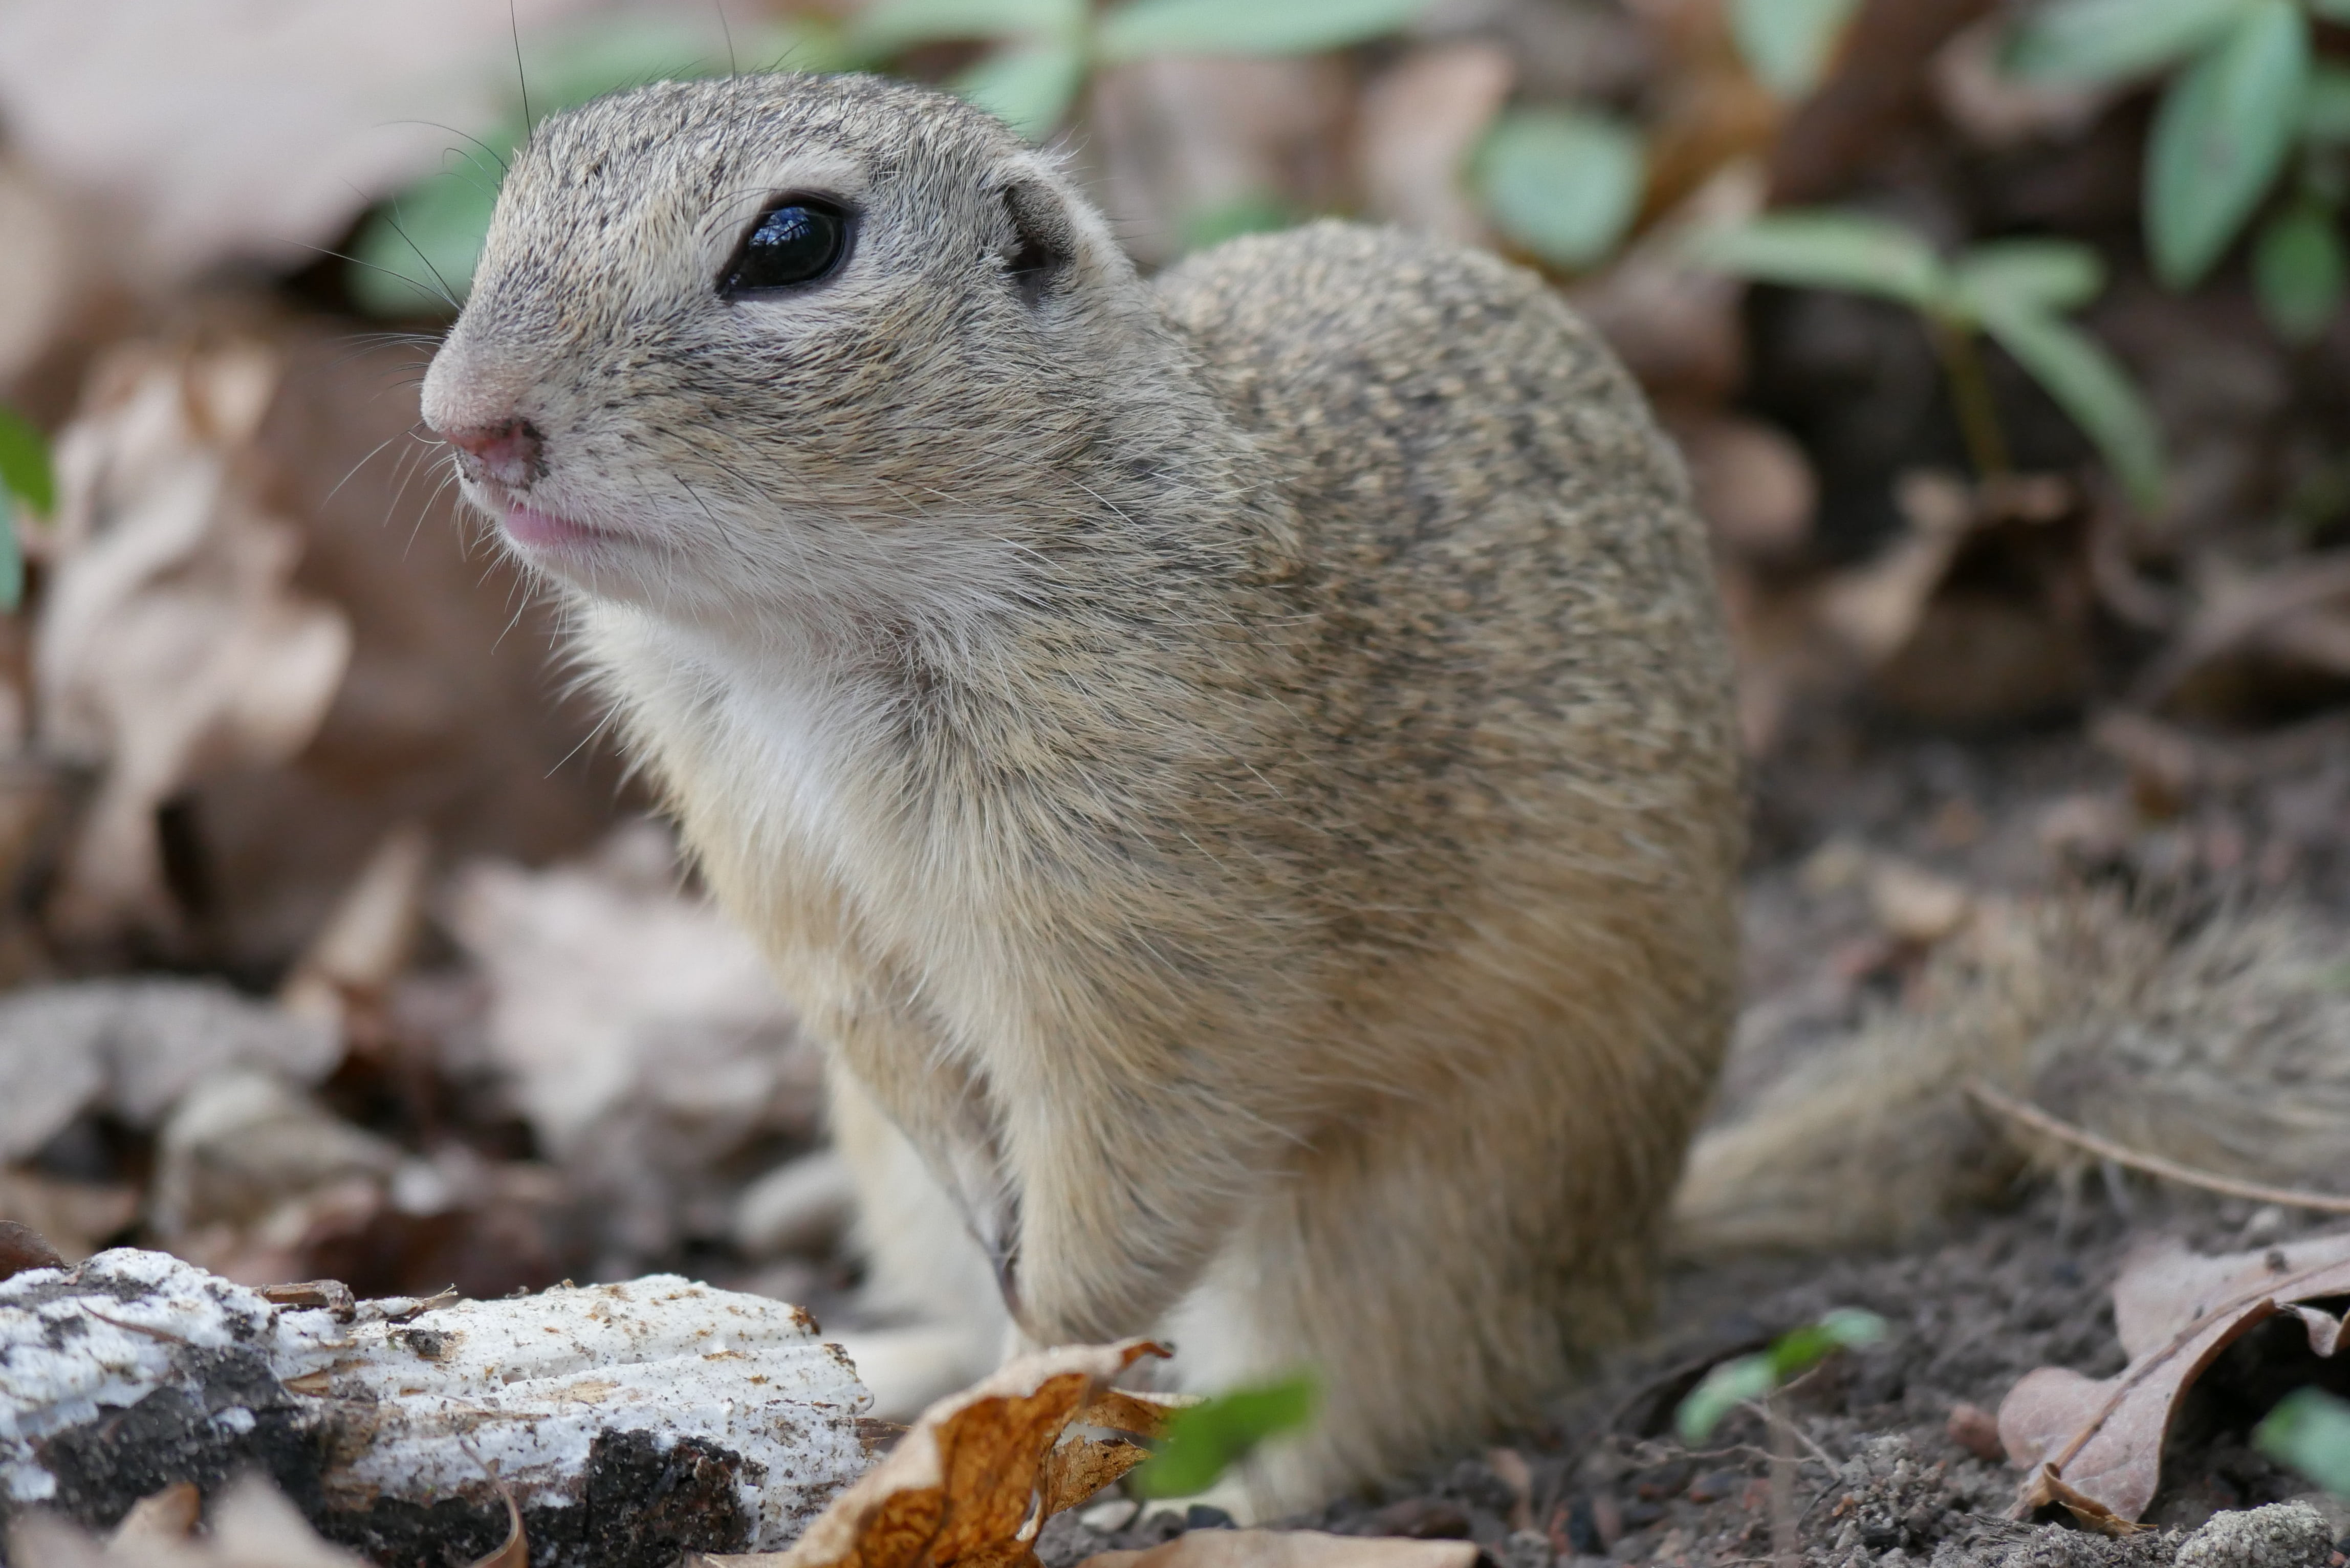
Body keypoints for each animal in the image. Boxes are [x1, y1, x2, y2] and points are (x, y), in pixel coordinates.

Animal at [421, 72, 1743, 1511]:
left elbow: (1134, 1164)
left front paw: (1032, 1366)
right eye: (518, 191)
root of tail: (1635, 1262)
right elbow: (890, 1040)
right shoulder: (775, 858)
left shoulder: (1148, 920)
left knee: (1350, 1414)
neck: (806, 648)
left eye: (793, 243)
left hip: (1394, 1236)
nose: (465, 417)